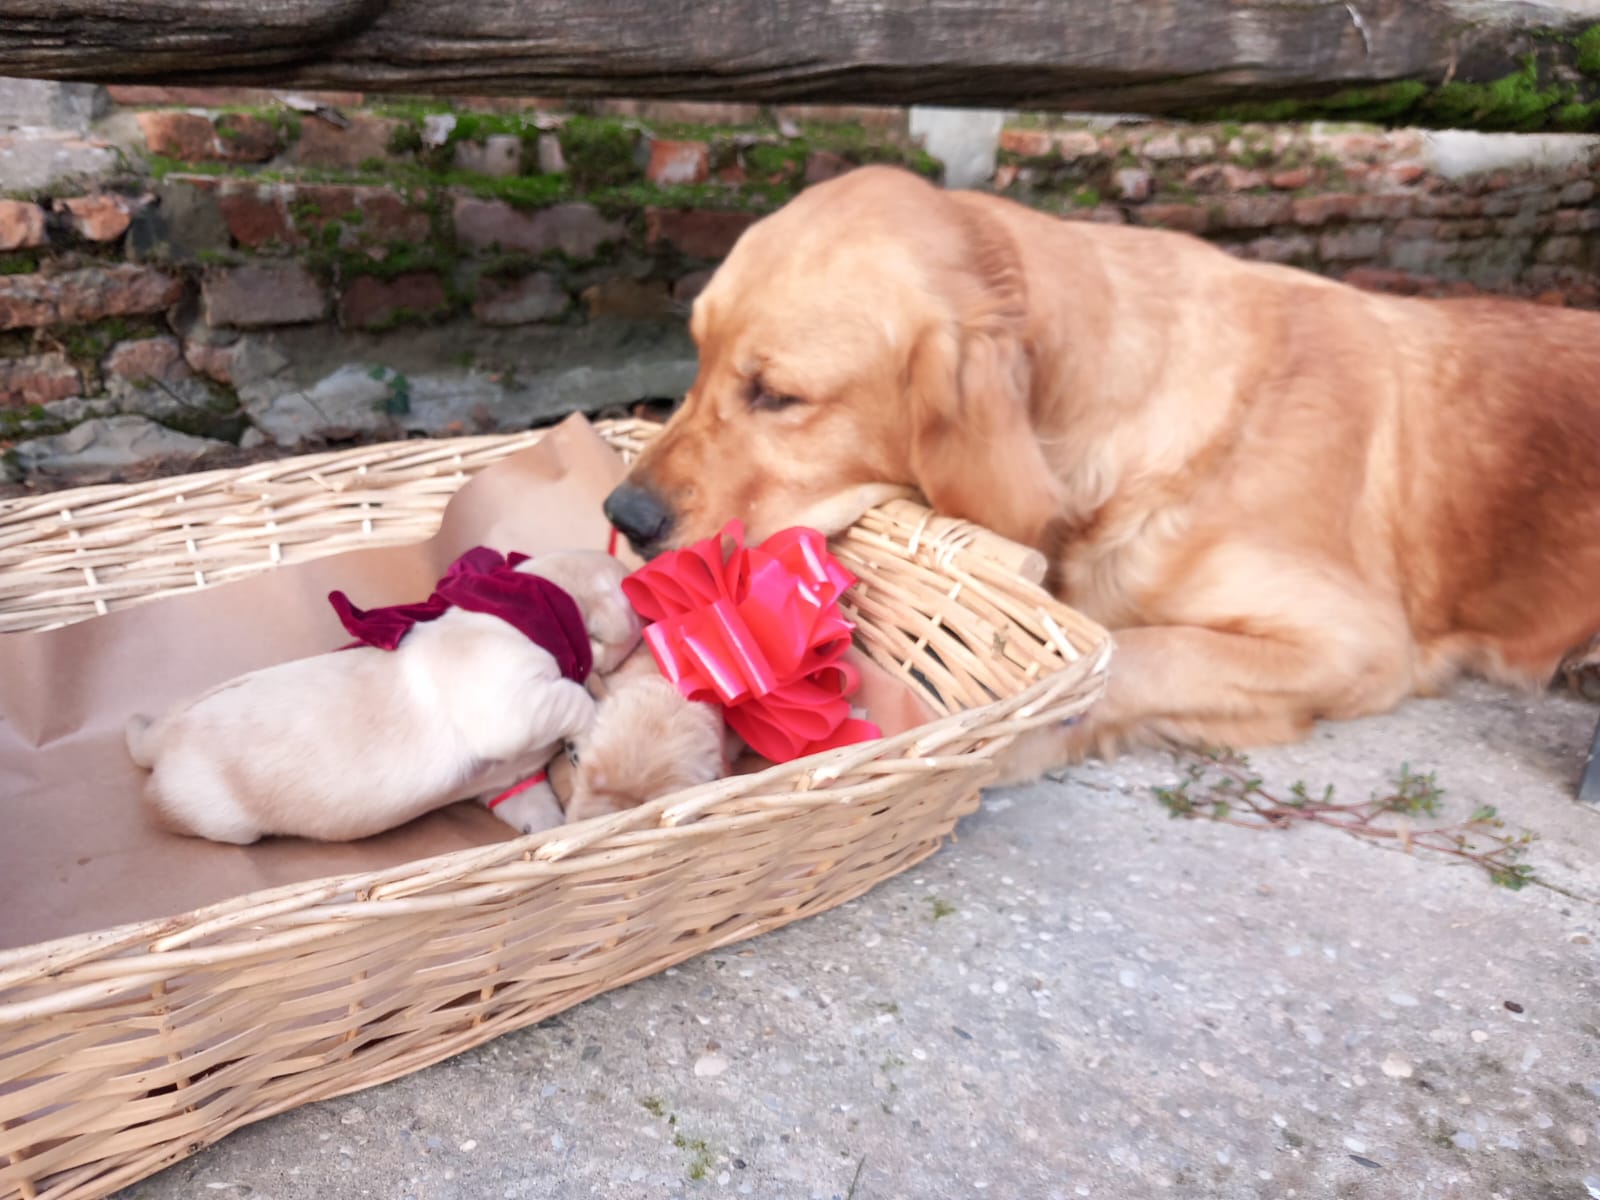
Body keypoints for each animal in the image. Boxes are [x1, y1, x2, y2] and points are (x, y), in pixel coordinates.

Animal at [126, 553, 636, 844]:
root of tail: (163, 738)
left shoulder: (507, 782)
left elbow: (530, 802)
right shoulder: (511, 709)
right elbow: (574, 697)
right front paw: (591, 723)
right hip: (219, 821)